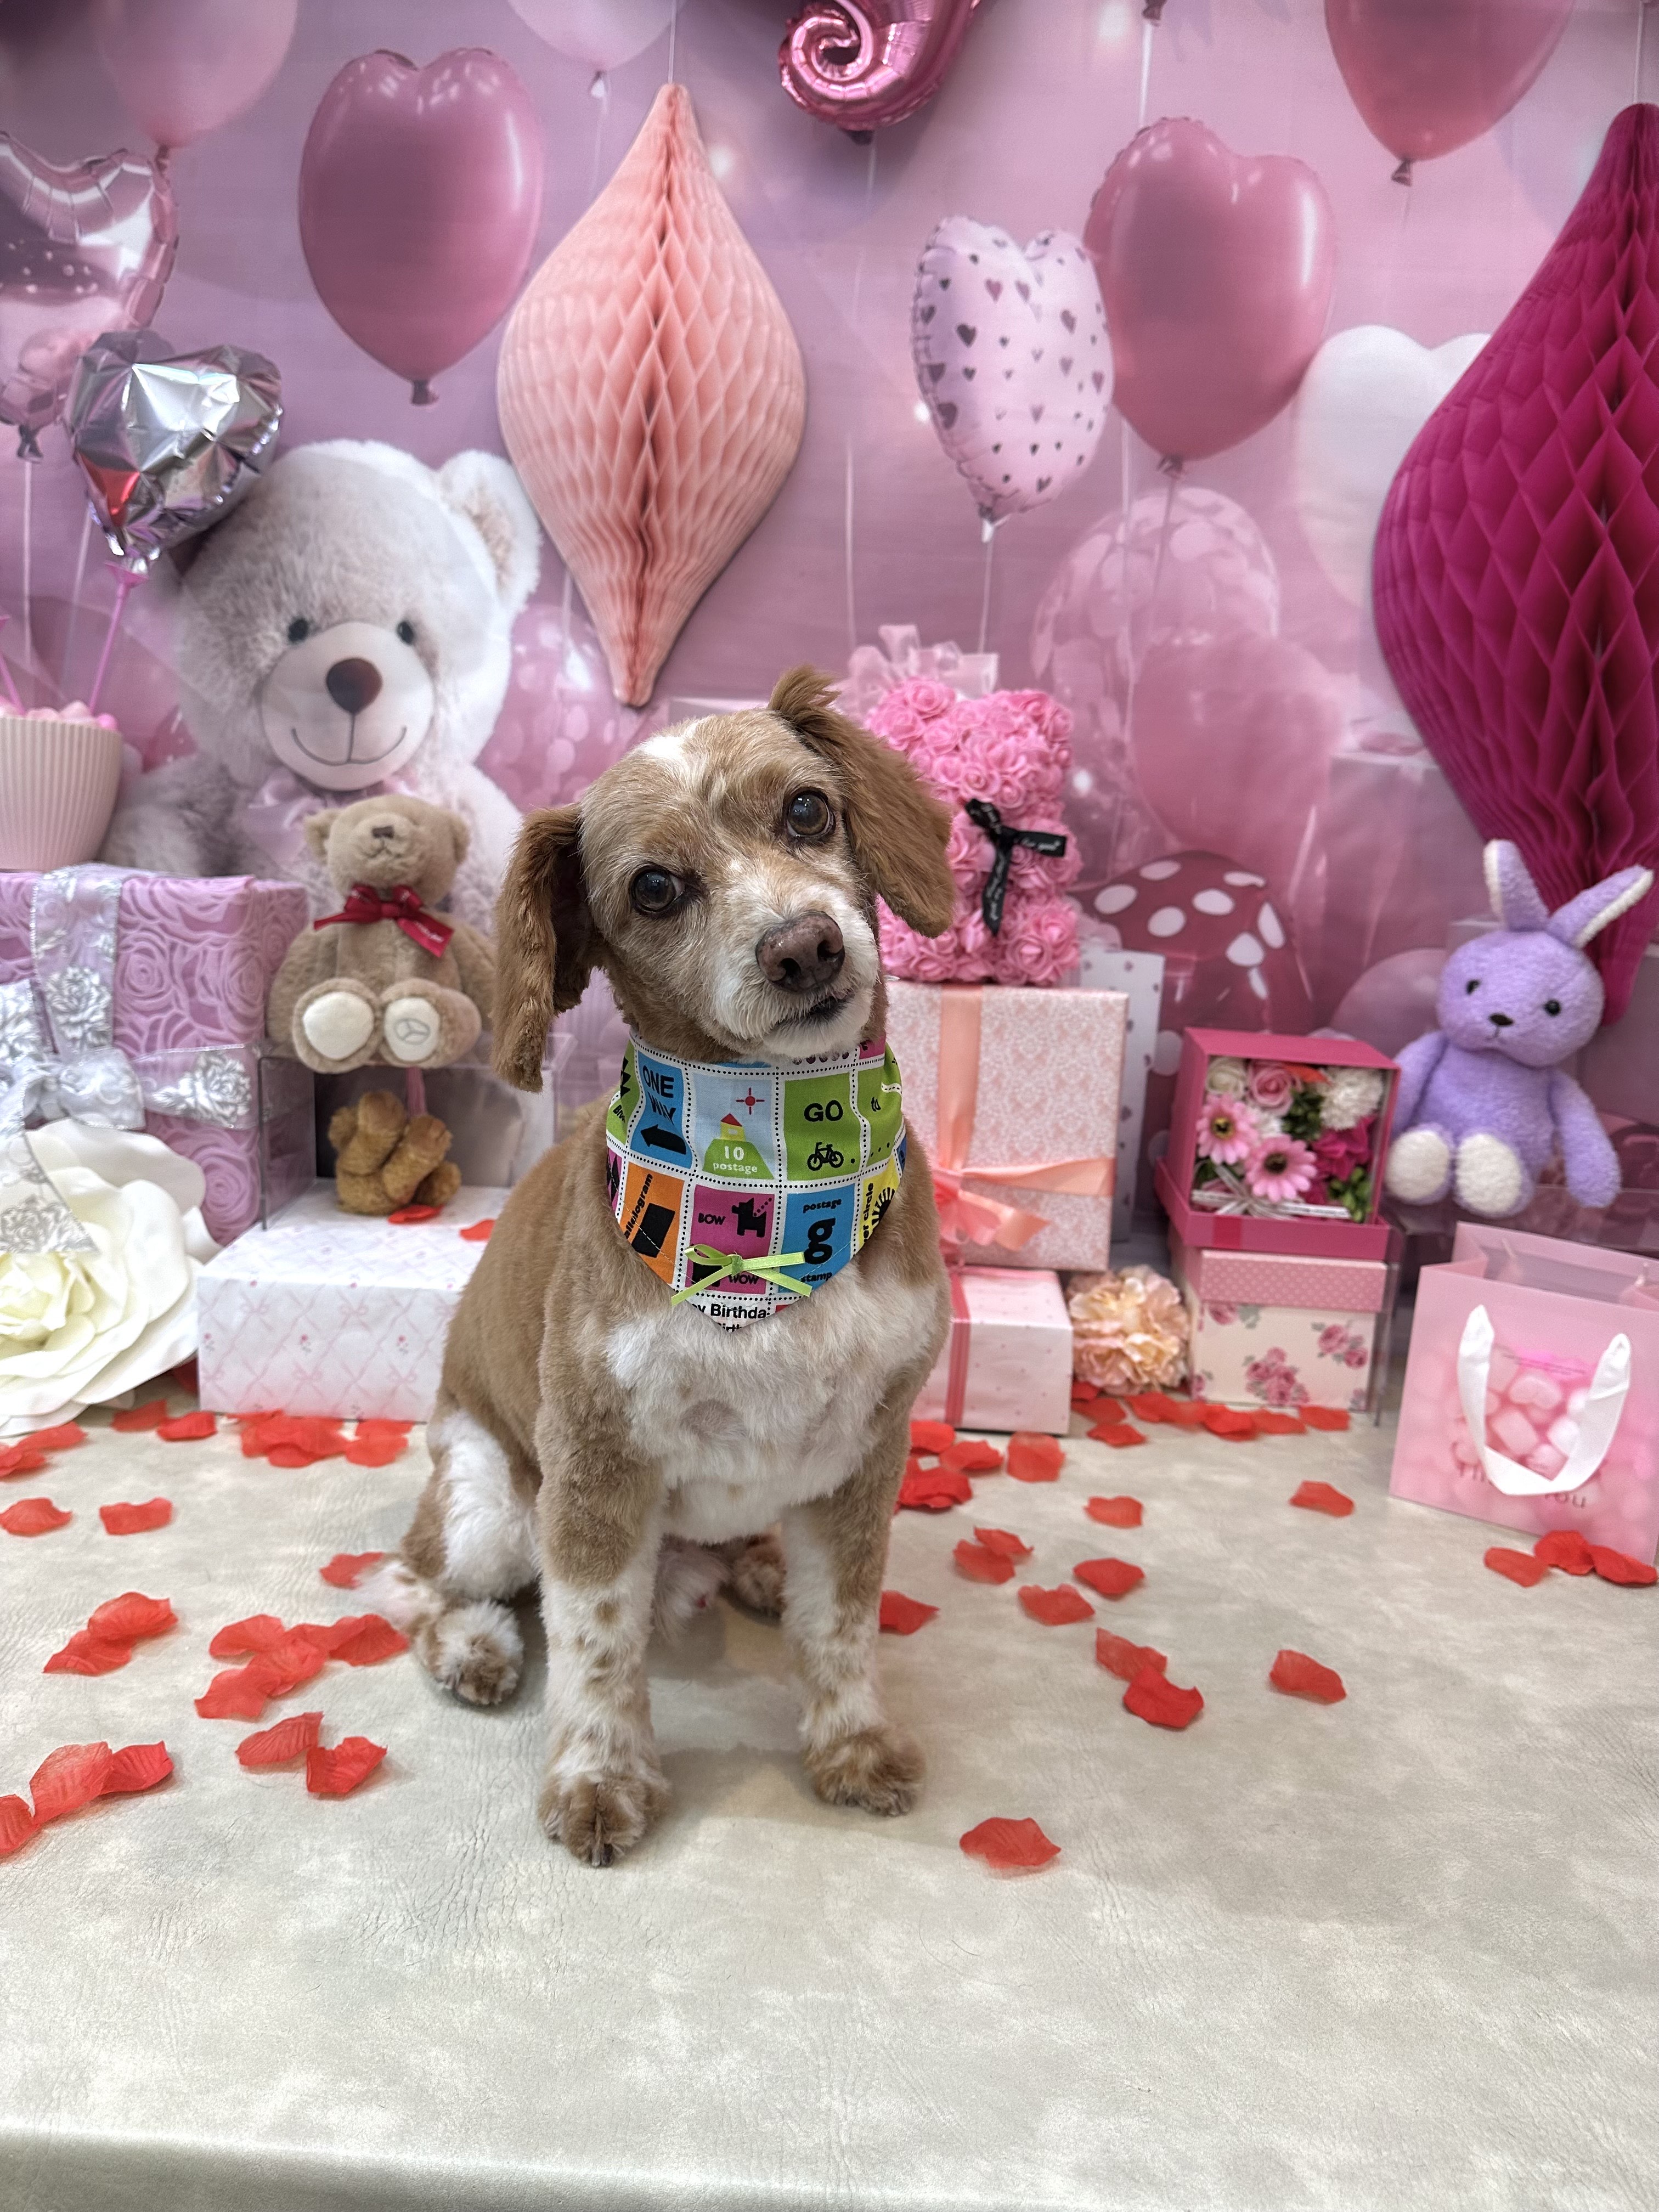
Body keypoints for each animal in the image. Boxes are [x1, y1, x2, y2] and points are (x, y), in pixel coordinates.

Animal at [368, 669, 957, 1864]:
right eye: (651, 887)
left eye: (807, 811)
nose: (804, 947)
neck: (776, 1200)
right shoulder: (596, 1467)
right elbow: (596, 1642)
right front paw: (598, 1781)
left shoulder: (867, 1453)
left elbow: (842, 1624)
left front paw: (852, 1747)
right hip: (490, 1504)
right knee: (405, 1579)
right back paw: (472, 1646)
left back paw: (760, 1564)